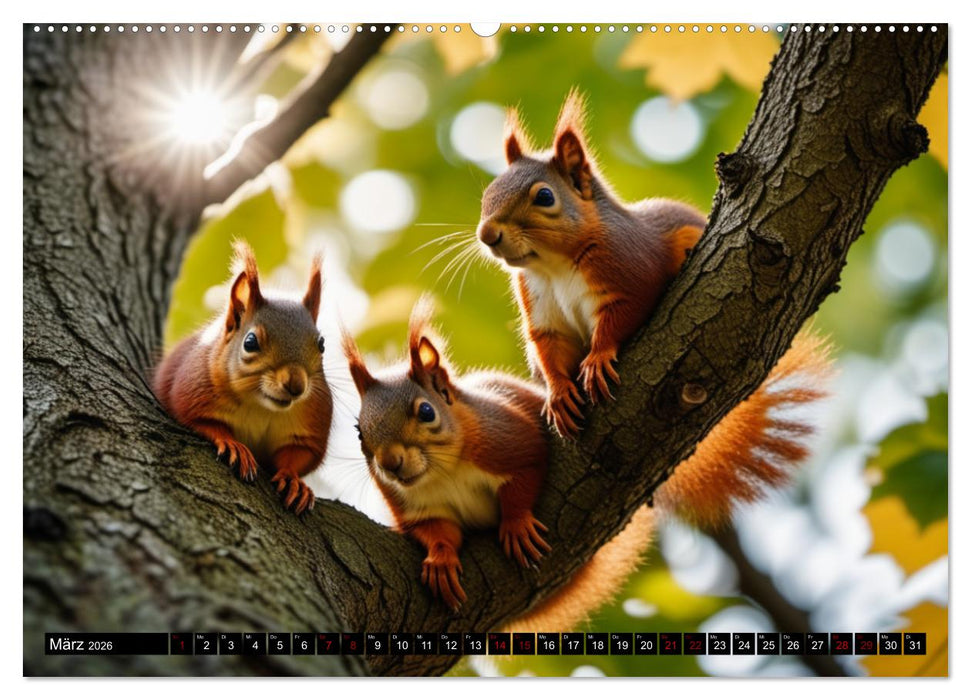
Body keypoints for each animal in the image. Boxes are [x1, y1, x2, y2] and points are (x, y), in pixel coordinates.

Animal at [153, 242, 333, 514]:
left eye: (321, 344)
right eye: (250, 342)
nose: (296, 385)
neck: (261, 406)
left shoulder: (313, 418)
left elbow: (300, 453)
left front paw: (293, 480)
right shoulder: (193, 390)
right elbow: (198, 420)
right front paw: (233, 444)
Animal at [343, 299, 830, 625]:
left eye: (426, 412)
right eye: (359, 431)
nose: (390, 463)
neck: (444, 471)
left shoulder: (507, 440)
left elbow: (526, 473)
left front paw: (516, 524)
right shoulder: (410, 505)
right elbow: (433, 529)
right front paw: (441, 558)